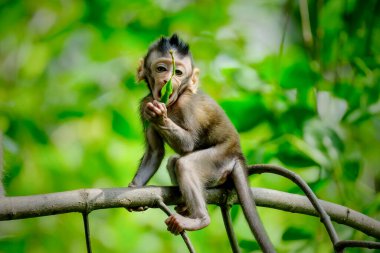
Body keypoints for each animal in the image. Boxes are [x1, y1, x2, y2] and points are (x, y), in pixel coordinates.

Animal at [129, 33, 274, 251]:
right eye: (161, 68)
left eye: (178, 72)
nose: (168, 79)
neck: (173, 103)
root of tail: (238, 154)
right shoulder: (145, 103)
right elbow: (155, 153)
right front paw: (134, 188)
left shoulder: (187, 104)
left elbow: (188, 144)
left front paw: (160, 118)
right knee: (173, 162)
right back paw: (187, 209)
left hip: (221, 156)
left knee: (185, 164)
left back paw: (199, 219)